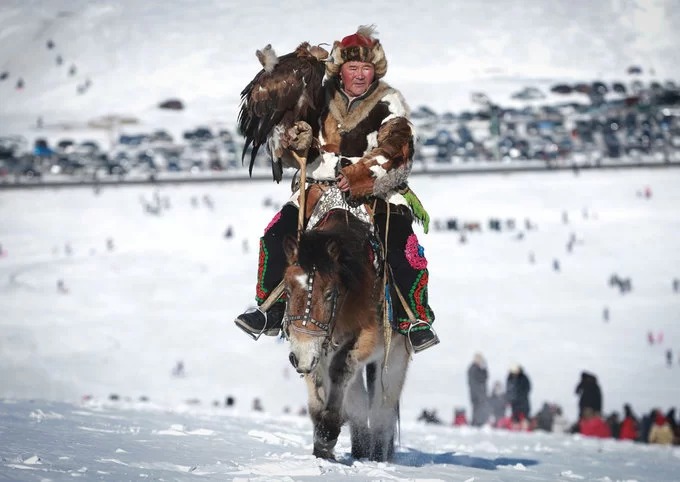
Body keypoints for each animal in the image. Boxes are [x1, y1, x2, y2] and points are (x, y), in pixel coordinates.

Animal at [282, 209, 410, 462]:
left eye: (330, 293)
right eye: (288, 290)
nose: (301, 358)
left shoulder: (369, 338)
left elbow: (340, 369)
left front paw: (327, 431)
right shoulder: (311, 349)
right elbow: (317, 380)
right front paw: (322, 445)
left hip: (395, 358)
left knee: (382, 410)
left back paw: (378, 456)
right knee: (359, 404)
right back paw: (360, 453)